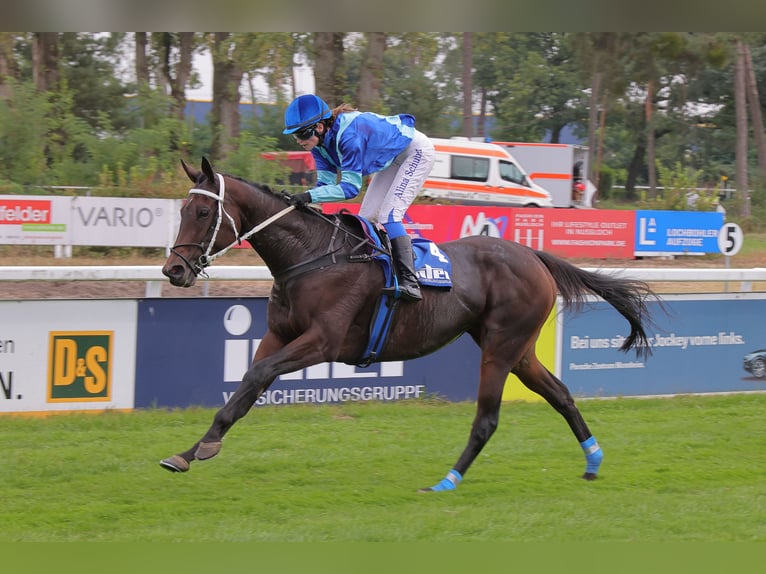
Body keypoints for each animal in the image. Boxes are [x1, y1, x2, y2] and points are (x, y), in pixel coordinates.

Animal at [159, 158, 656, 496]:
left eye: (202, 214)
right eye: (181, 210)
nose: (173, 271)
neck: (312, 255)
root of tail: (533, 254)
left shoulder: (323, 341)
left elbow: (258, 376)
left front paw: (202, 449)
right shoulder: (279, 335)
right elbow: (244, 389)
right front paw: (190, 452)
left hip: (502, 346)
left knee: (488, 418)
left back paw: (447, 481)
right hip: (519, 349)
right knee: (560, 394)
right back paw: (593, 461)